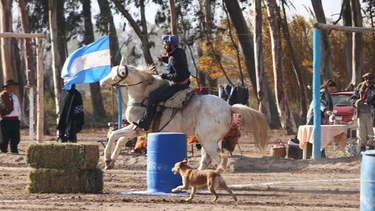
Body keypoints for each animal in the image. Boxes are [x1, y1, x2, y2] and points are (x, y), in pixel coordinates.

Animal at [100, 56, 270, 171]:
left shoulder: (139, 128)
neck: (143, 94)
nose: (102, 82)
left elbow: (114, 135)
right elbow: (120, 140)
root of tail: (229, 107)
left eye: (118, 72)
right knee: (207, 159)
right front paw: (110, 162)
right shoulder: (136, 129)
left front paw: (107, 158)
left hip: (207, 139)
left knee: (219, 160)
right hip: (209, 140)